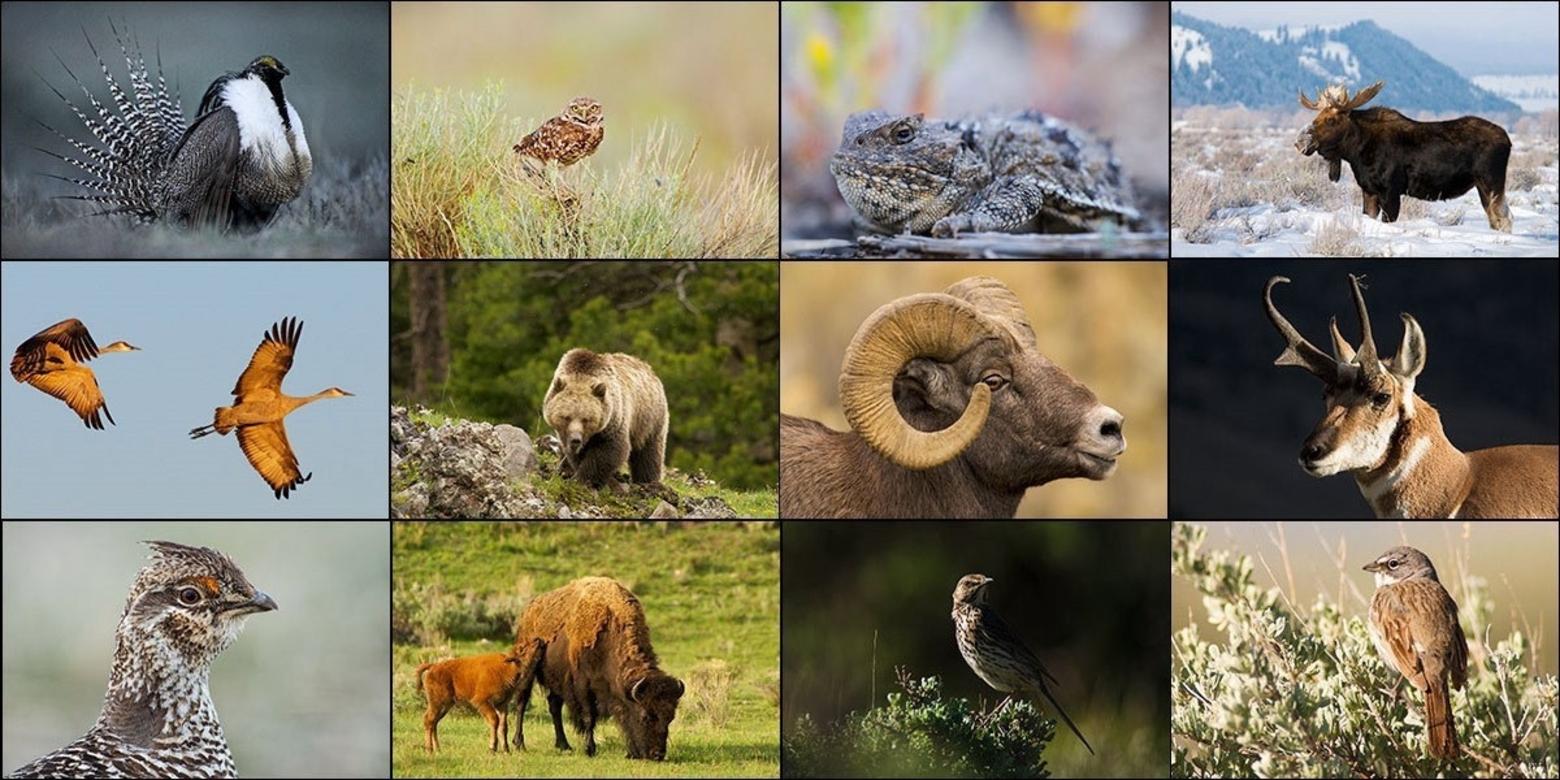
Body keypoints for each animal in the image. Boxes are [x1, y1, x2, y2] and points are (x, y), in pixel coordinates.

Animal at [414, 642, 542, 751]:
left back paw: (437, 749)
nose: (537, 641)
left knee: (434, 722)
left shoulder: (502, 705)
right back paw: (429, 749)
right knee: (429, 720)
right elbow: (494, 720)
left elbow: (503, 726)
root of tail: (433, 666)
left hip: (445, 706)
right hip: (437, 703)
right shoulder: (482, 701)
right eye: (522, 648)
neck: (506, 667)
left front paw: (506, 750)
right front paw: (492, 748)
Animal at [511, 577, 683, 758]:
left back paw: (564, 745)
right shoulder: (583, 686)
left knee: (554, 705)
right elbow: (589, 717)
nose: (657, 754)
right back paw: (519, 744)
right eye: (645, 716)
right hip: (528, 667)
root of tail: (528, 611)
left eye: (670, 717)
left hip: (556, 680)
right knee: (522, 701)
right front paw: (590, 749)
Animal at [539, 349, 667, 486]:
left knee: (648, 452)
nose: (575, 439)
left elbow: (609, 450)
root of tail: (649, 369)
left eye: (586, 419)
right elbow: (573, 453)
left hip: (649, 419)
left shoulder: (613, 420)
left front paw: (584, 478)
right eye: (566, 417)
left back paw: (647, 481)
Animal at [1297, 83, 1516, 233]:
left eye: (1331, 119)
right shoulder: (1369, 191)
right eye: (1316, 117)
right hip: (1483, 186)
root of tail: (1508, 140)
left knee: (1504, 218)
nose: (1301, 141)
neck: (1356, 152)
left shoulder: (1391, 191)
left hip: (1492, 182)